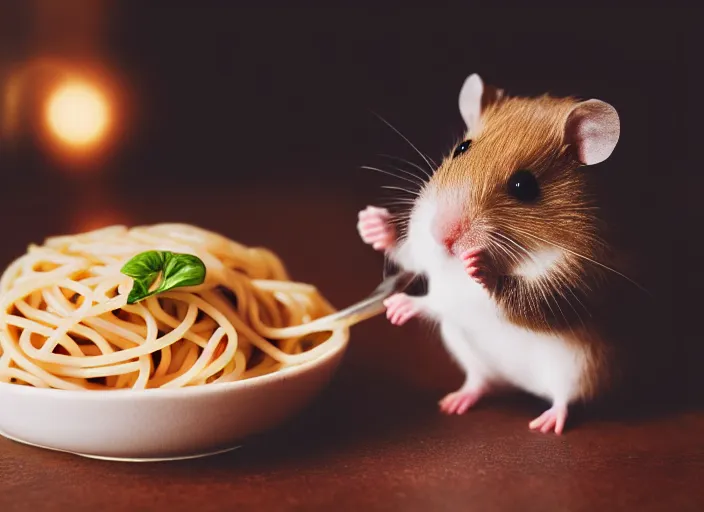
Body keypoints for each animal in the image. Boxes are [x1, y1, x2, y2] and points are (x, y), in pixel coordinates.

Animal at [358, 71, 640, 432]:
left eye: (525, 186)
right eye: (461, 148)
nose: (441, 234)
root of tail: (520, 385)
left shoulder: (565, 284)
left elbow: (455, 299)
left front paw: (402, 305)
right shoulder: (426, 256)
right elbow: (411, 256)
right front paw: (373, 224)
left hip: (579, 370)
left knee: (563, 399)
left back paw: (548, 422)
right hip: (466, 352)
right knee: (481, 381)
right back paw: (455, 402)